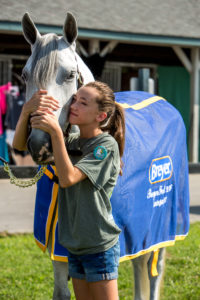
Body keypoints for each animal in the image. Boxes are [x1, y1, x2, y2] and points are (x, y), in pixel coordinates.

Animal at [20, 11, 178, 300]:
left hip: (165, 226)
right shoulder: (60, 252)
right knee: (139, 264)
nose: (40, 145)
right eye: (25, 76)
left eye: (70, 74)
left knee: (156, 269)